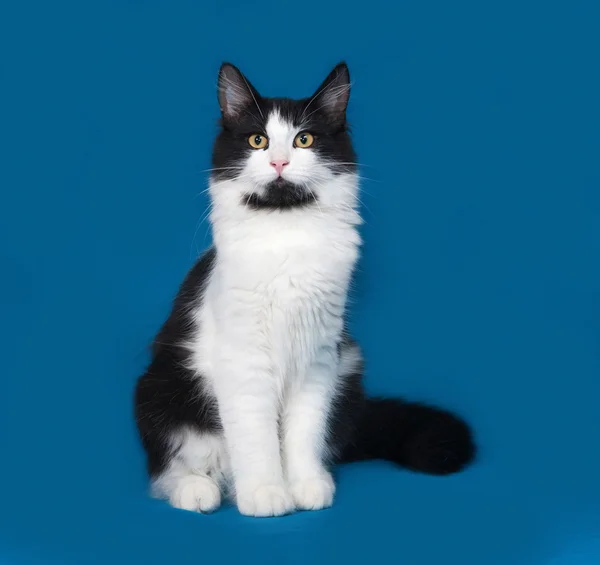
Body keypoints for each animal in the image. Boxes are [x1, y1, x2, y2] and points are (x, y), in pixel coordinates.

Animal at [134, 61, 476, 516]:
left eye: (304, 139)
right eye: (257, 140)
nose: (279, 162)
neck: (287, 231)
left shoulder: (319, 357)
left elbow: (303, 432)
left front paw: (305, 486)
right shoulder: (245, 362)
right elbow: (256, 437)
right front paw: (265, 494)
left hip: (349, 367)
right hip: (159, 389)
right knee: (169, 470)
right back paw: (200, 489)